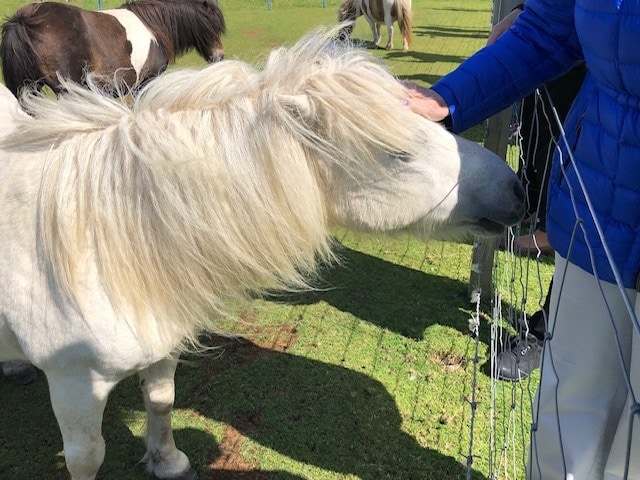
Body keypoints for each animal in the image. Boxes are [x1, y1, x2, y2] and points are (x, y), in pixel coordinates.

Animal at [0, 0, 226, 96]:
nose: (219, 56)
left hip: (29, 91)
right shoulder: (147, 82)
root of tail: (23, 21)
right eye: (211, 25)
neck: (152, 25)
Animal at [0, 31, 524, 480]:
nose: (518, 189)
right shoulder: (75, 383)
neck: (102, 236)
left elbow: (162, 401)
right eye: (398, 154)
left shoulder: (164, 345)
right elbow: (87, 456)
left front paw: (168, 461)